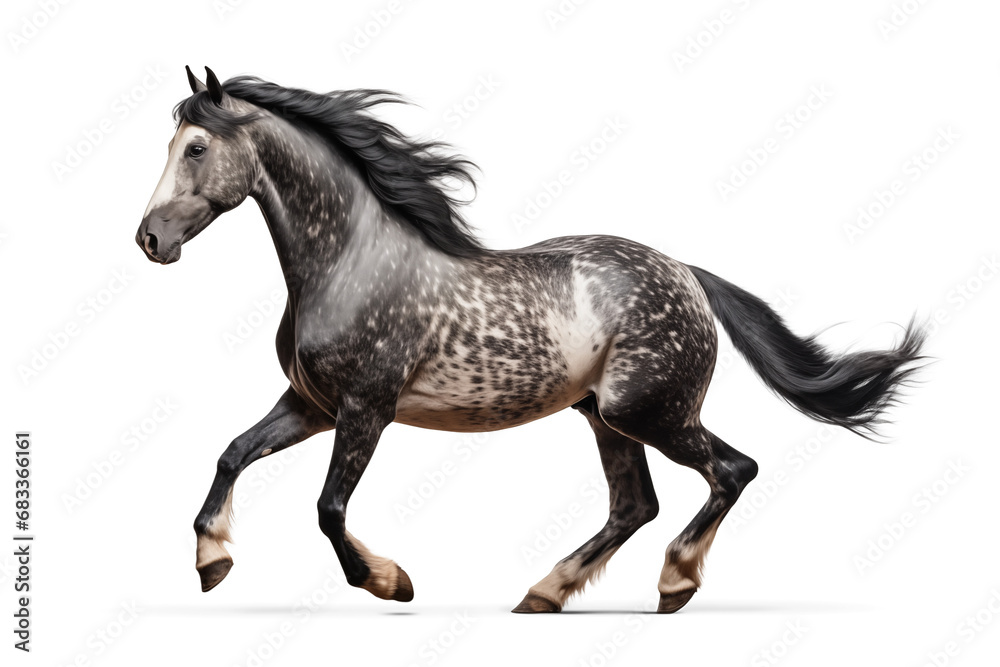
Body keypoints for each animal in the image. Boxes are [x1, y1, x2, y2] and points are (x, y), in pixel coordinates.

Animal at [135, 67, 925, 614]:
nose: (149, 240)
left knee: (733, 470)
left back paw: (674, 582)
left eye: (196, 147)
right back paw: (544, 592)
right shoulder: (313, 405)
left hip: (649, 410)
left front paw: (391, 582)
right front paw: (211, 560)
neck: (347, 263)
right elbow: (232, 452)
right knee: (635, 504)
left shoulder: (366, 407)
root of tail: (689, 276)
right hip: (603, 415)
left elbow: (329, 509)